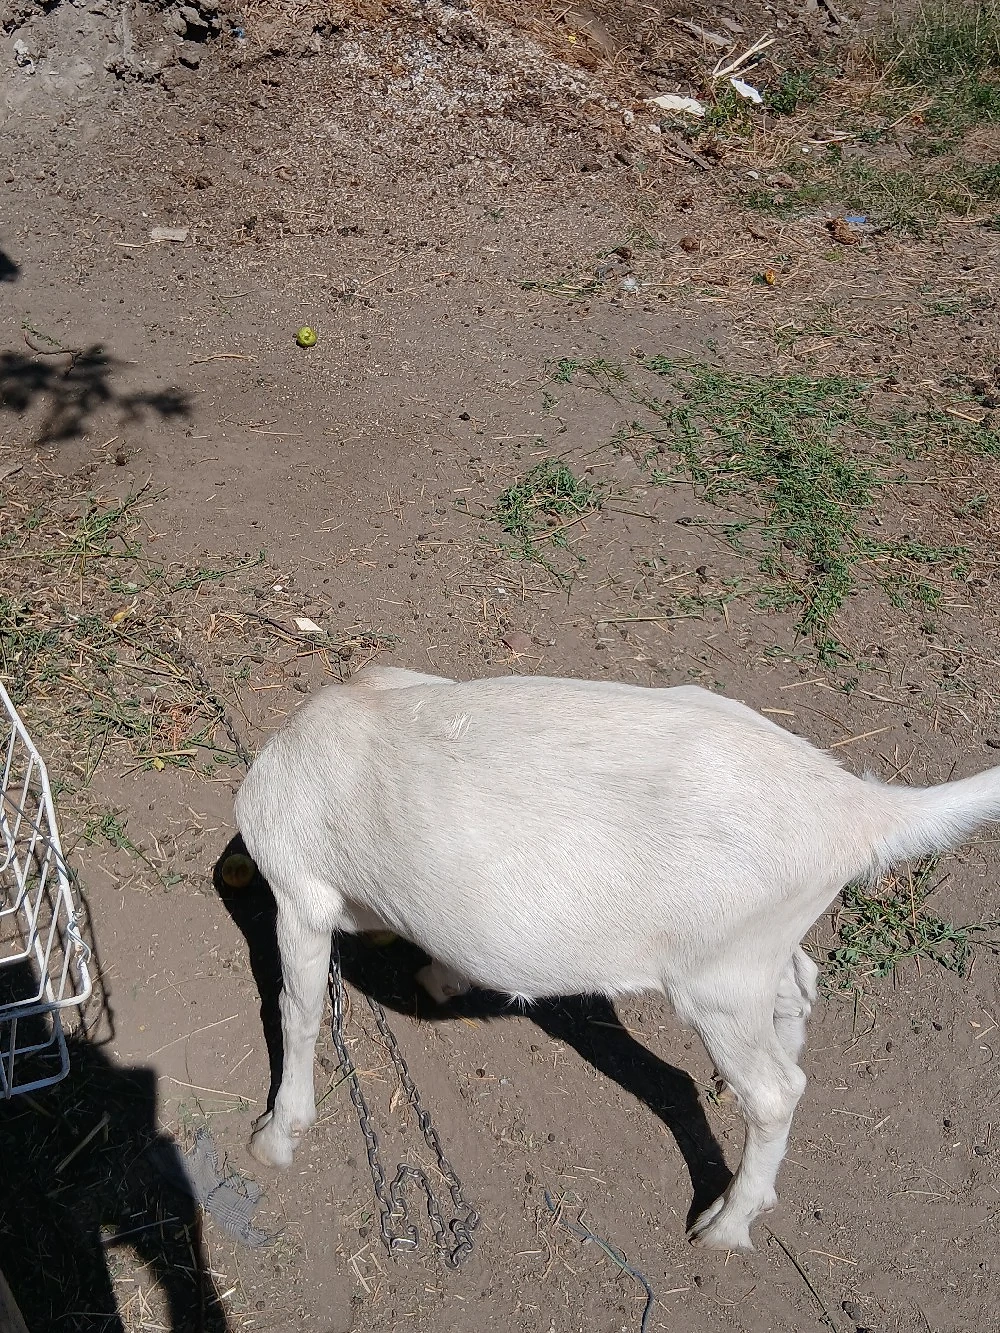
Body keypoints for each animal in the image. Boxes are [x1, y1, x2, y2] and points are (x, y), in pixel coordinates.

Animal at [234, 665, 1000, 1250]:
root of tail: (855, 809)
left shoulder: (298, 887)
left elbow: (297, 1010)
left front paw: (277, 1135)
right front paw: (439, 976)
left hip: (715, 978)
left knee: (778, 1091)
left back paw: (723, 1227)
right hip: (757, 951)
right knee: (800, 990)